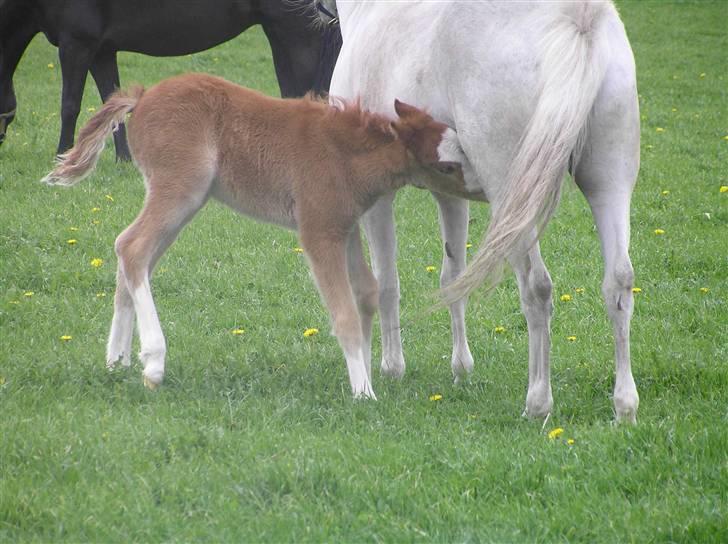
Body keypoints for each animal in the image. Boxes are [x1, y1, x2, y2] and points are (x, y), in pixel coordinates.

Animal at [0, 0, 341, 160]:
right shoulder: (102, 52)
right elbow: (112, 103)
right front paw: (124, 159)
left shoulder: (76, 44)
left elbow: (69, 105)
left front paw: (62, 154)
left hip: (296, 35)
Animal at [41, 72, 468, 395]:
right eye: (445, 166)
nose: (474, 188)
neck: (345, 153)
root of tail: (143, 96)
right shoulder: (318, 230)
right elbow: (344, 312)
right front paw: (363, 392)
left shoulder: (344, 228)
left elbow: (366, 292)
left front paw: (365, 372)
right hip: (180, 189)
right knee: (133, 247)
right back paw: (154, 362)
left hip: (184, 202)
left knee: (131, 254)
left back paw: (116, 360)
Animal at [315, 0, 641, 422]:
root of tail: (577, 18)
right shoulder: (450, 194)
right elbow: (452, 277)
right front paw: (461, 369)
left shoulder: (377, 198)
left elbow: (385, 282)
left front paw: (389, 369)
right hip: (610, 186)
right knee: (618, 282)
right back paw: (624, 407)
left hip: (512, 199)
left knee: (537, 287)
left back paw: (538, 402)